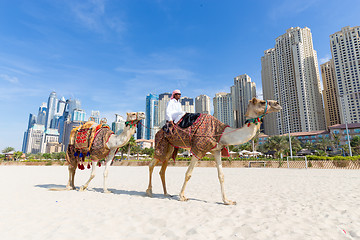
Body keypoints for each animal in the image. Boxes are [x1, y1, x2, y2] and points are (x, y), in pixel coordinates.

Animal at [146, 97, 282, 204]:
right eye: (262, 102)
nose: (277, 103)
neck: (221, 133)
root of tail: (159, 130)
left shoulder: (216, 150)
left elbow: (221, 175)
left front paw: (227, 201)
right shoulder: (198, 149)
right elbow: (188, 174)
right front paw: (182, 196)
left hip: (171, 148)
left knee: (162, 169)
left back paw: (166, 193)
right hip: (161, 143)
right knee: (152, 164)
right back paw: (149, 191)